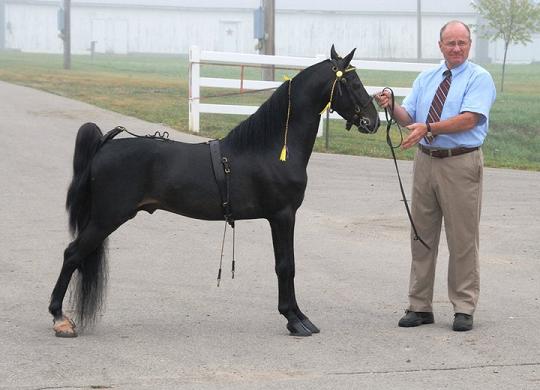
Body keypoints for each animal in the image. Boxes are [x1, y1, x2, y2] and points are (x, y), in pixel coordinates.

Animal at [49, 46, 380, 338]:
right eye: (354, 83)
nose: (374, 121)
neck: (271, 148)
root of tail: (104, 144)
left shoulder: (282, 217)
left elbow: (288, 265)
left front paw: (298, 317)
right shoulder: (282, 216)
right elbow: (286, 266)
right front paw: (295, 320)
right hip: (106, 219)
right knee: (72, 254)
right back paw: (59, 319)